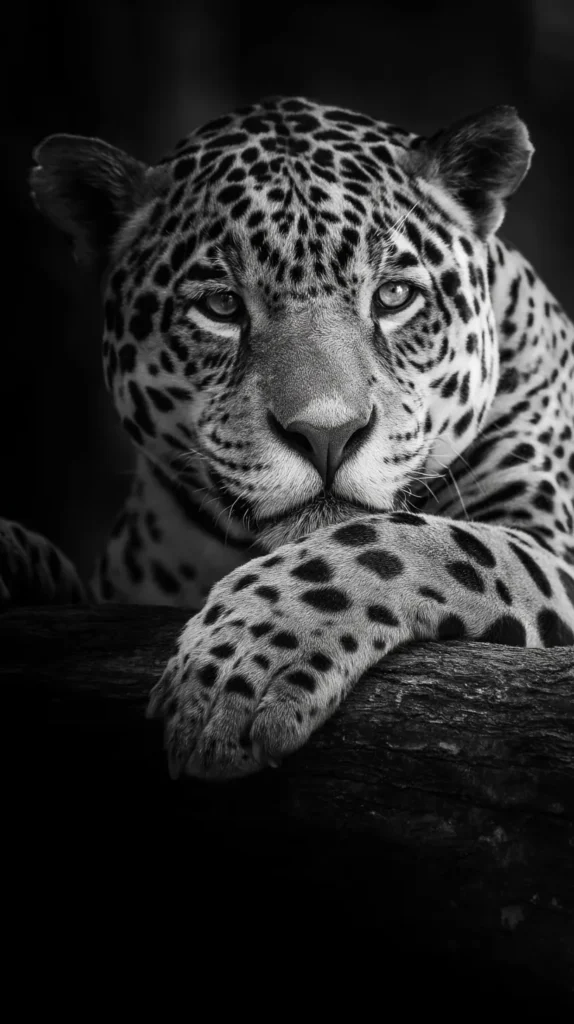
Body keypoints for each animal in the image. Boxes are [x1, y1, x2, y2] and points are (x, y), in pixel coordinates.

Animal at [3, 95, 574, 780]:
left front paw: (235, 668)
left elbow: (403, 541)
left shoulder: (548, 545)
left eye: (394, 295)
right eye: (222, 306)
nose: (328, 434)